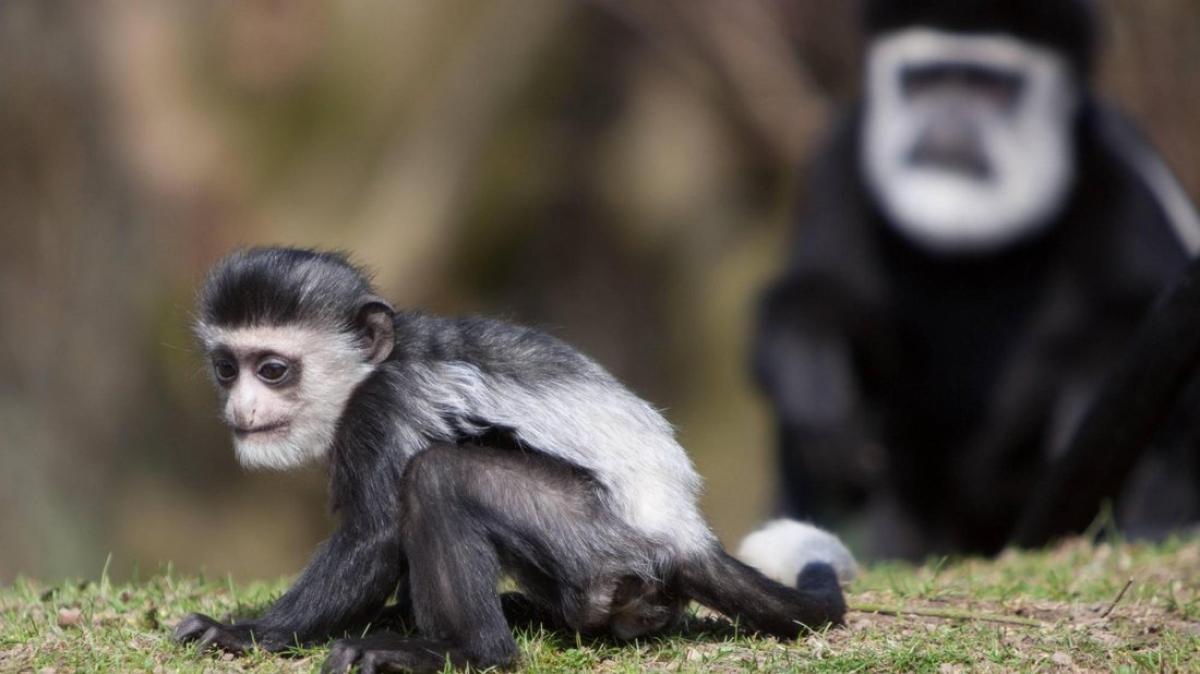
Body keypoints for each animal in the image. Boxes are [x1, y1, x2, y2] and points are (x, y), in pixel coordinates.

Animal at [174, 248, 849, 671]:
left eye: (272, 370)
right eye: (227, 369)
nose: (242, 407)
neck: (375, 366)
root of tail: (683, 532)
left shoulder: (383, 406)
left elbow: (375, 537)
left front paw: (244, 633)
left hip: (597, 537)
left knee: (439, 475)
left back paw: (467, 650)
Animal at [744, 0, 1200, 561]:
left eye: (992, 87)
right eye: (924, 81)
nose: (951, 121)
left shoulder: (1122, 167)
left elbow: (1141, 318)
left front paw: (1088, 385)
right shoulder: (838, 160)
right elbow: (818, 290)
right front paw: (811, 351)